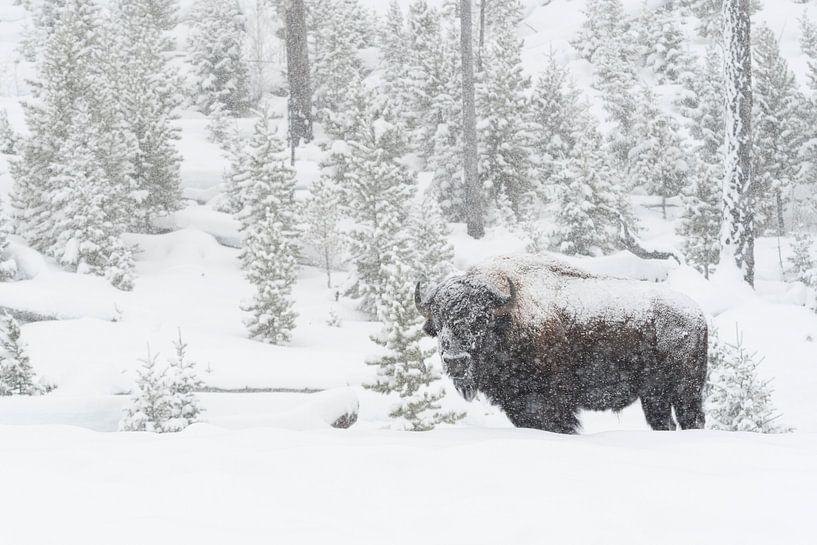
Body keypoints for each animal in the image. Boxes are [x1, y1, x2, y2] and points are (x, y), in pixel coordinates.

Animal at [415, 255, 707, 433]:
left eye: (481, 320)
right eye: (438, 323)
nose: (455, 360)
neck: (510, 316)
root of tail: (697, 315)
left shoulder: (550, 403)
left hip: (685, 390)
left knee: (691, 418)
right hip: (654, 395)